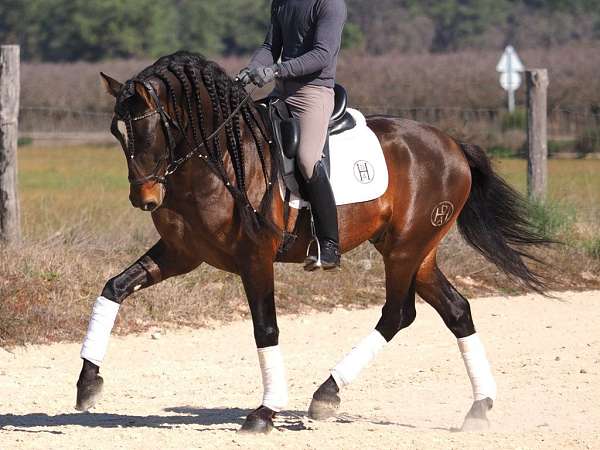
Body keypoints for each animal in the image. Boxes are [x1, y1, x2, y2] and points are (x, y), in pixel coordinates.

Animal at [76, 51, 548, 432]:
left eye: (153, 128)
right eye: (117, 132)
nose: (145, 198)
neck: (218, 158)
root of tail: (452, 145)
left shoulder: (255, 257)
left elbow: (265, 327)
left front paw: (264, 412)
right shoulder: (182, 253)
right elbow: (114, 287)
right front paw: (87, 383)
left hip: (406, 249)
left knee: (398, 313)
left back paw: (327, 394)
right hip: (417, 251)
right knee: (456, 310)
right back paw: (478, 406)